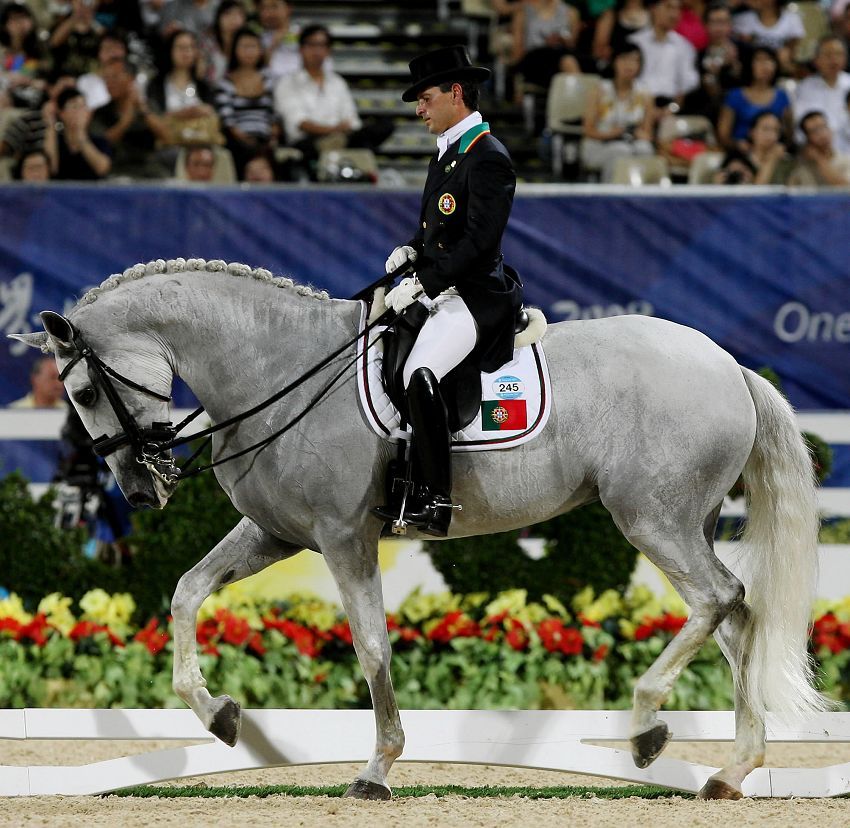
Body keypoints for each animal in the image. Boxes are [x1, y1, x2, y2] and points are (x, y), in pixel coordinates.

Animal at [12, 257, 828, 801]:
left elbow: (372, 644)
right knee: (734, 618)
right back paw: (730, 772)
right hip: (684, 521)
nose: (139, 491)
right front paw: (219, 716)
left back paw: (647, 727)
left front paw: (376, 769)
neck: (279, 368)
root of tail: (728, 365)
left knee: (720, 599)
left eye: (85, 392)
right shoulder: (276, 532)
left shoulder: (342, 536)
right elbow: (185, 591)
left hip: (653, 517)